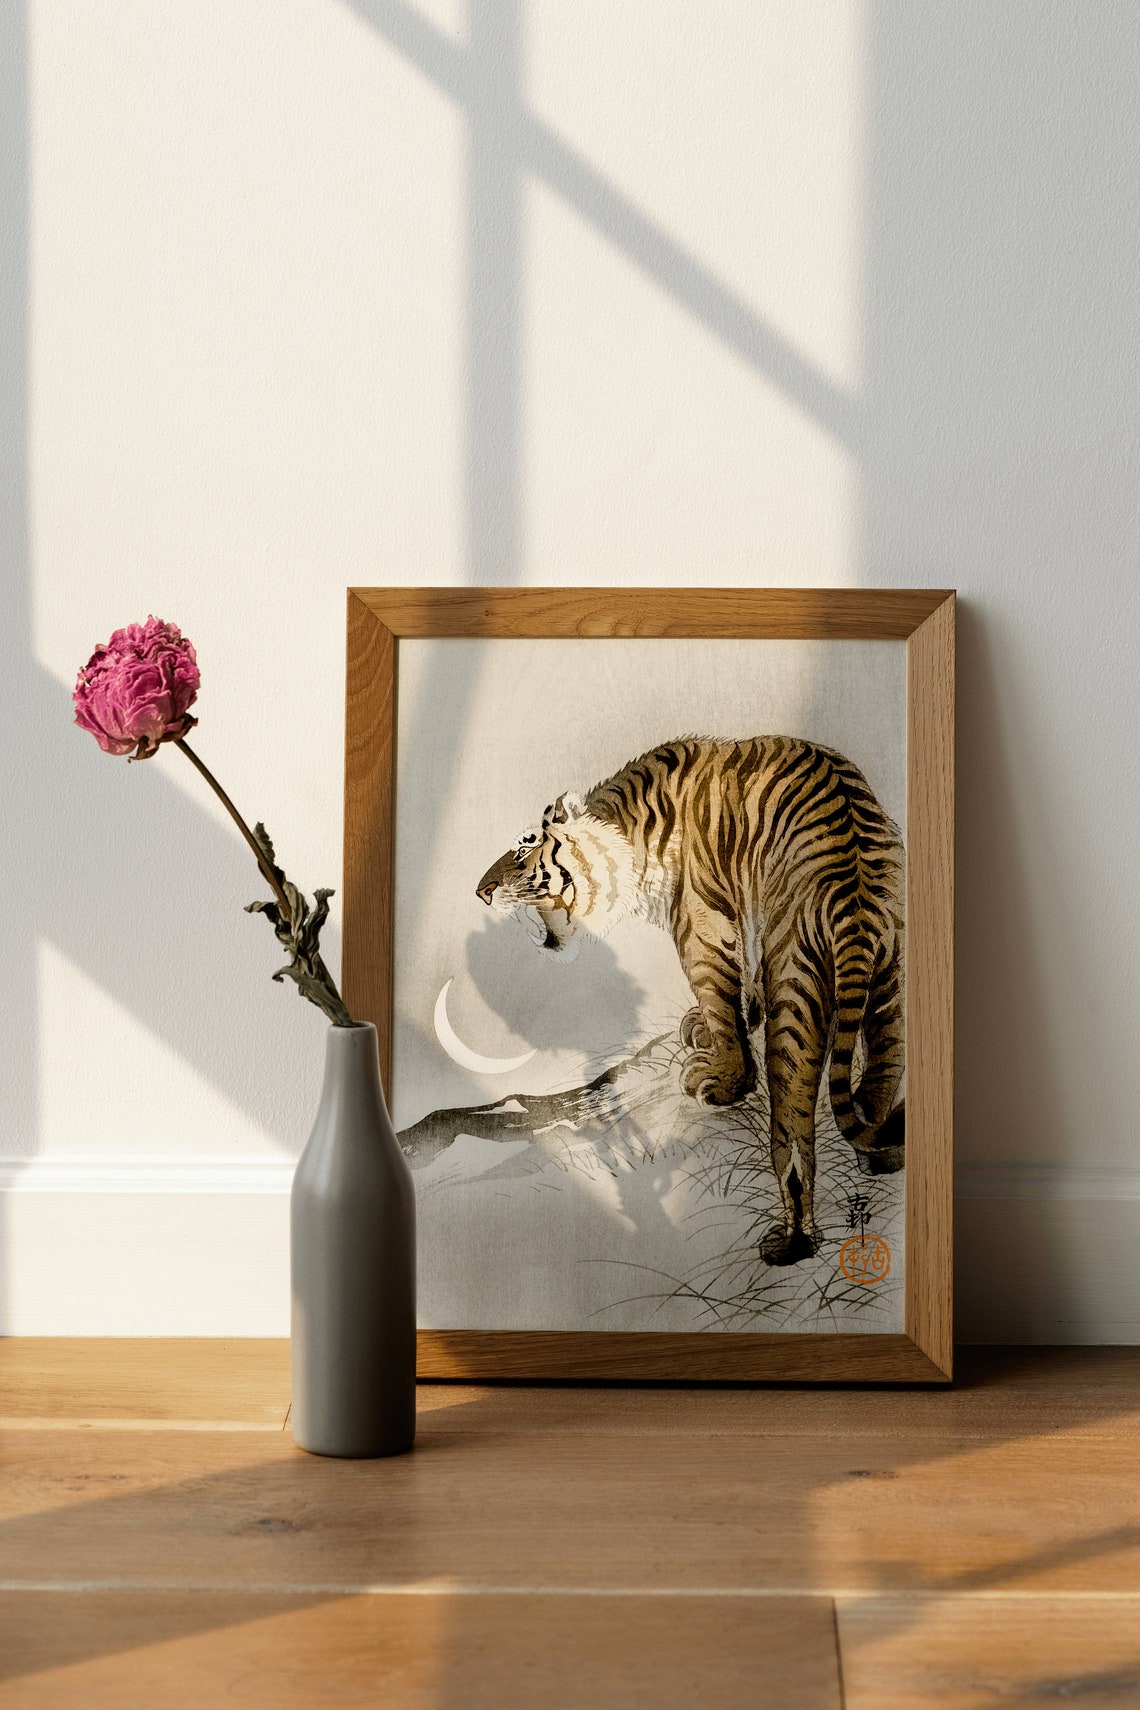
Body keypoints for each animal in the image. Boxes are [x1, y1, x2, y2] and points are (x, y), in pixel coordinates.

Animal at [475, 736, 905, 1267]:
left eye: (524, 847)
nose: (481, 891)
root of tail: (856, 890)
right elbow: (740, 992)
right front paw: (711, 1026)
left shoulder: (701, 926)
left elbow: (720, 998)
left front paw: (723, 1079)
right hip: (891, 976)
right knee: (886, 1066)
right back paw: (880, 1152)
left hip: (796, 981)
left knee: (793, 1130)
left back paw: (792, 1242)